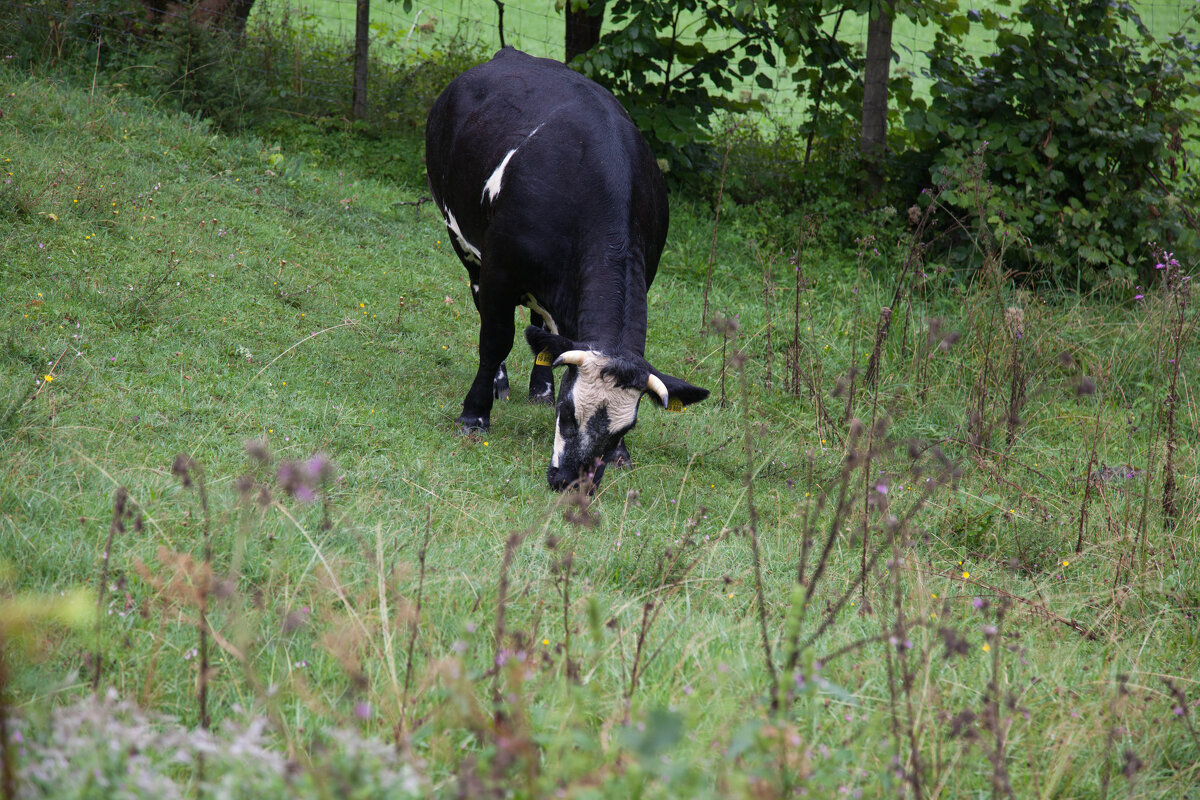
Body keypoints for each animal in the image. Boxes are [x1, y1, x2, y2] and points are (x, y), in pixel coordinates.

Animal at [427, 50, 705, 491]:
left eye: (624, 430)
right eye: (568, 411)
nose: (573, 483)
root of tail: (510, 53)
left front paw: (621, 457)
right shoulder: (499, 272)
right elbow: (495, 339)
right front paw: (474, 415)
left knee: (541, 327)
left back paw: (539, 386)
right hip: (463, 243)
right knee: (489, 315)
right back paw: (500, 384)